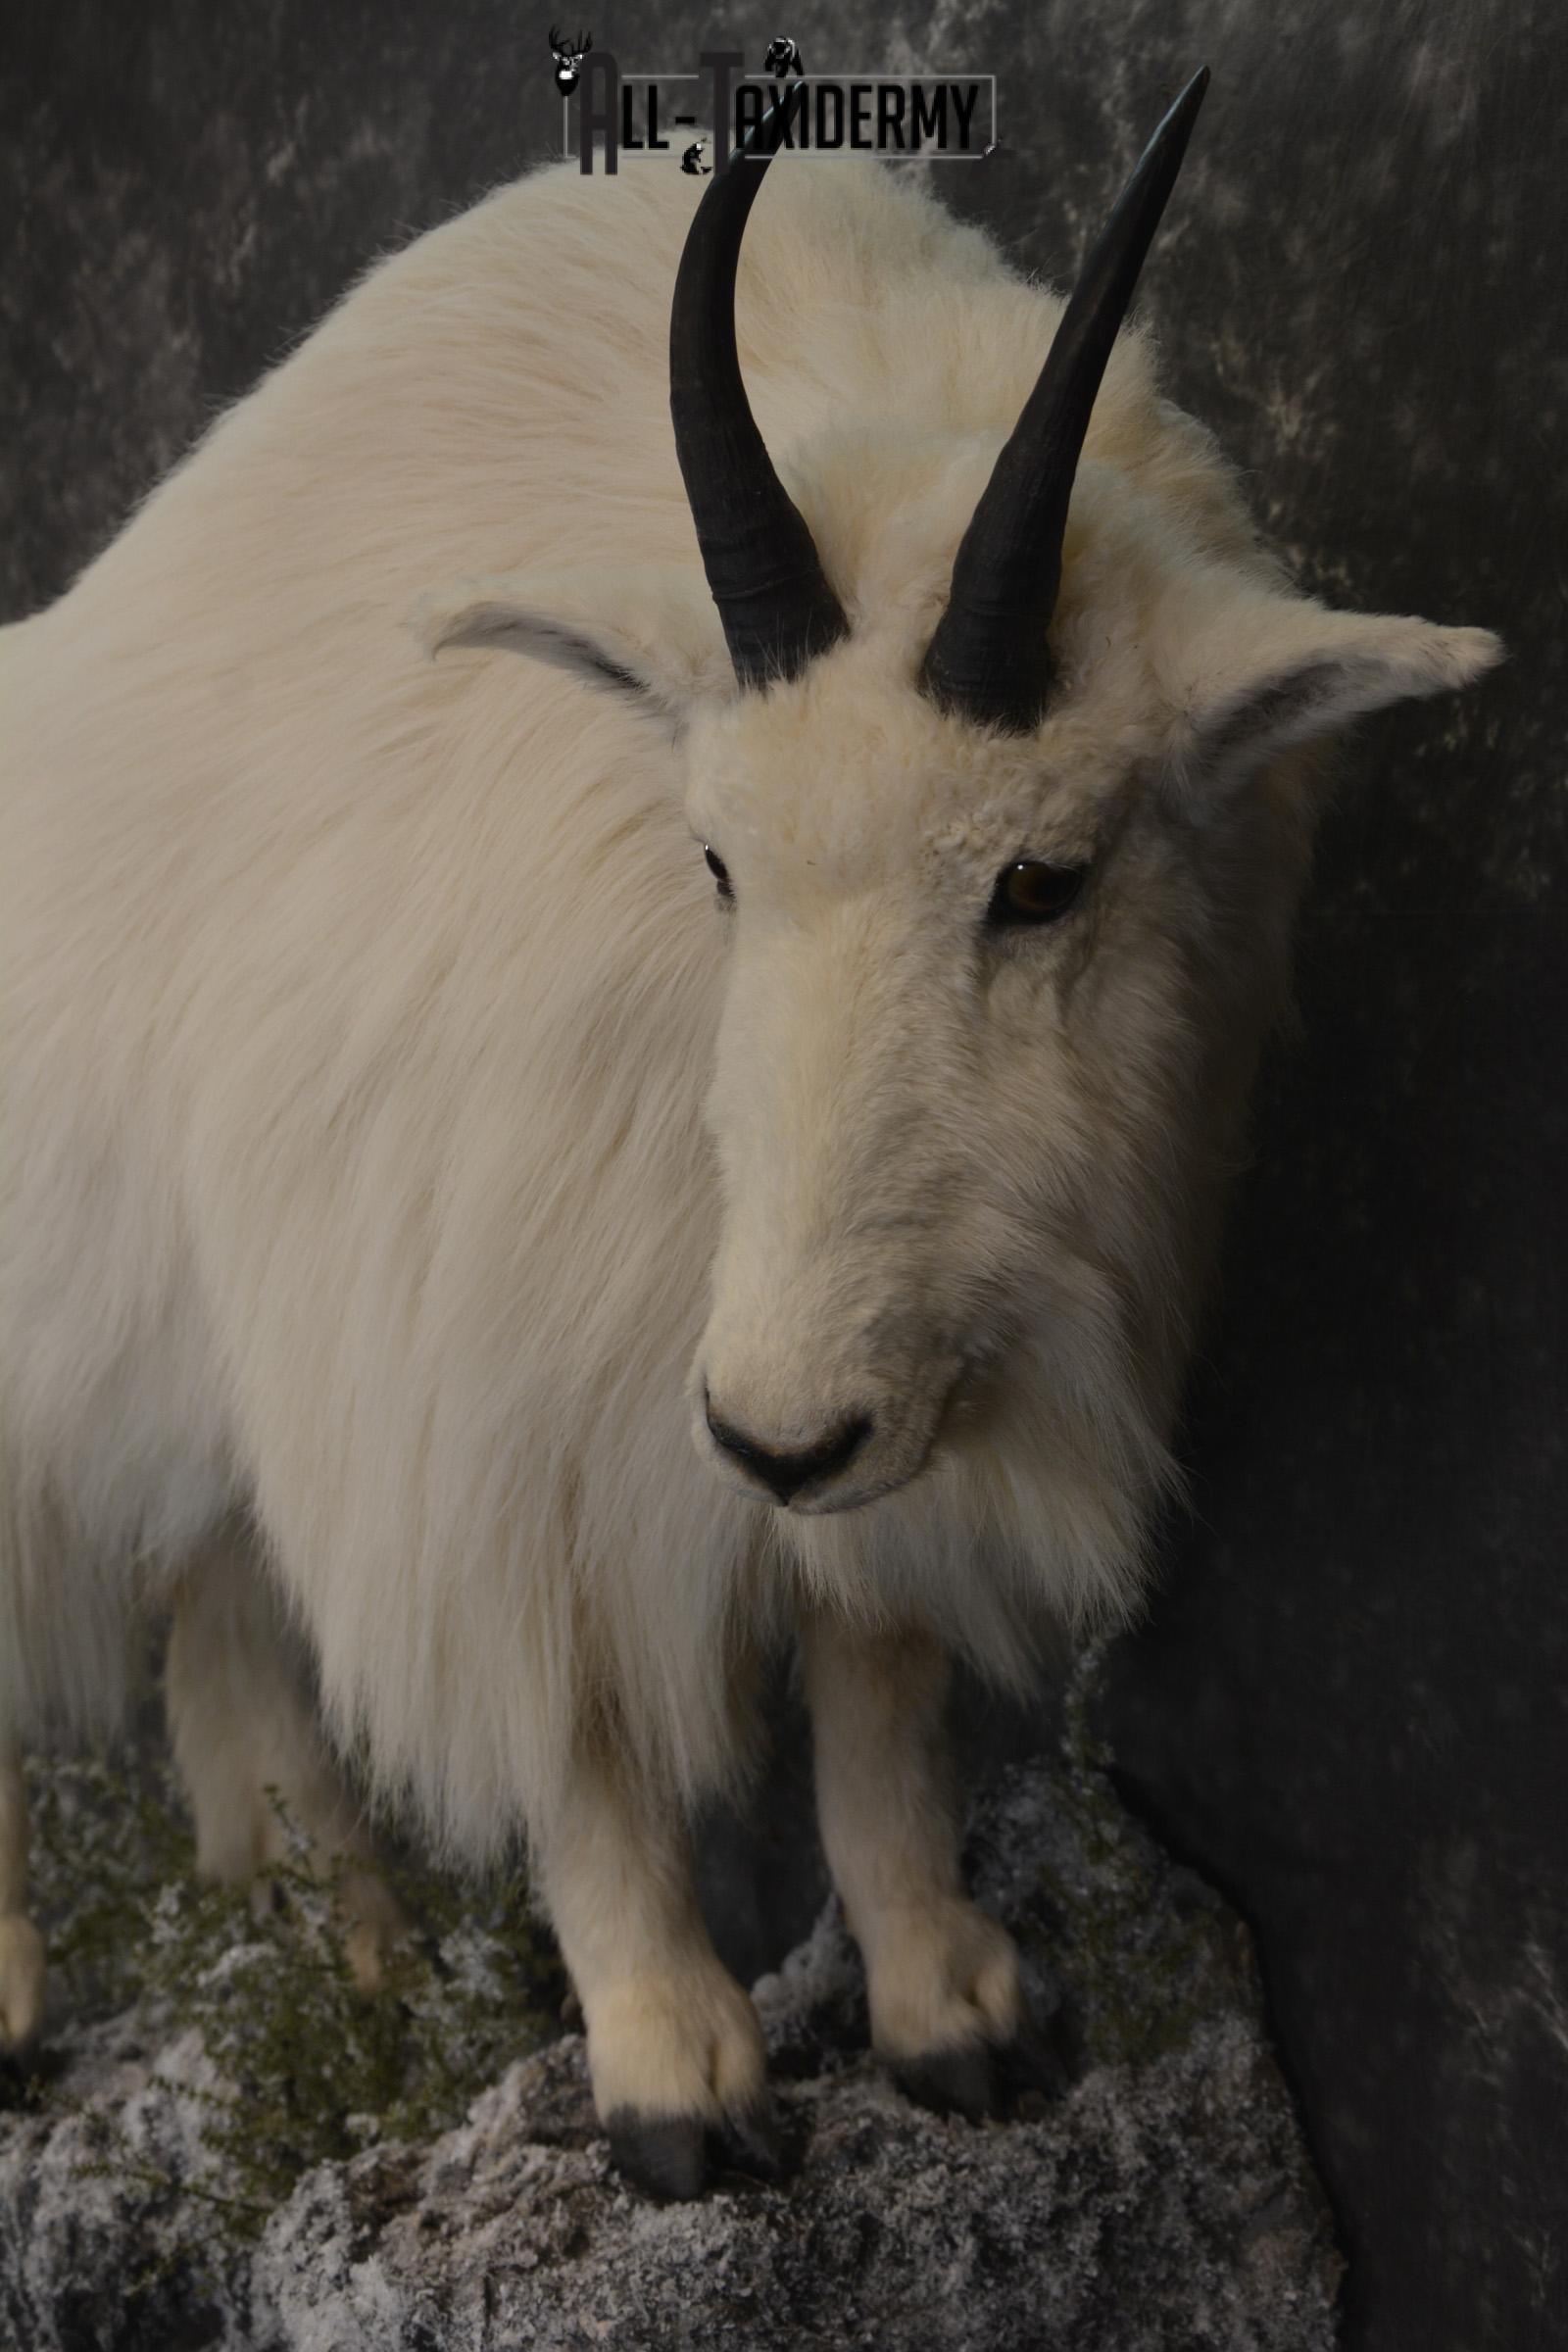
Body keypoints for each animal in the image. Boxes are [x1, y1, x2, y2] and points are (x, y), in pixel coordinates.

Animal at [0, 74, 1499, 2197]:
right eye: (716, 857)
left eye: (1043, 878)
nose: (771, 1427)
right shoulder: (479, 1399)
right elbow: (580, 1746)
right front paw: (676, 2089)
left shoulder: (891, 1385)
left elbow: (874, 1698)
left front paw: (952, 2014)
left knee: (223, 1636)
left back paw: (355, 1967)